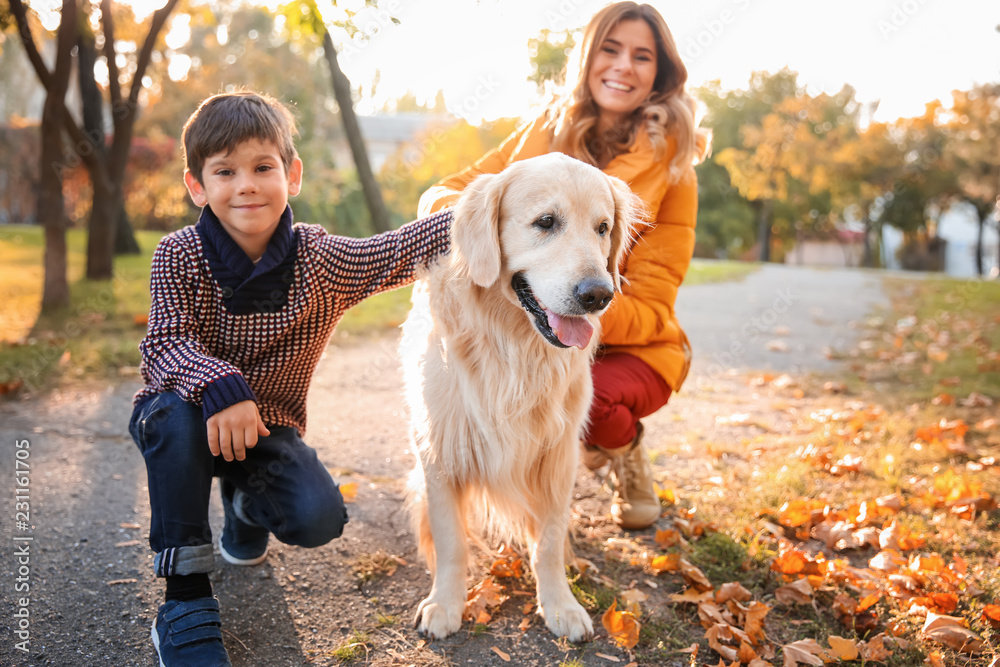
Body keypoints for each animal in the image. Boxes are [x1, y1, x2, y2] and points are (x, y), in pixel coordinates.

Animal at [400, 153, 640, 640]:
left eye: (603, 227)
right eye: (545, 222)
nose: (599, 294)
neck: (514, 348)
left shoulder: (558, 456)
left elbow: (547, 541)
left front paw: (560, 604)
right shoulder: (440, 450)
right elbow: (451, 541)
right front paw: (446, 603)